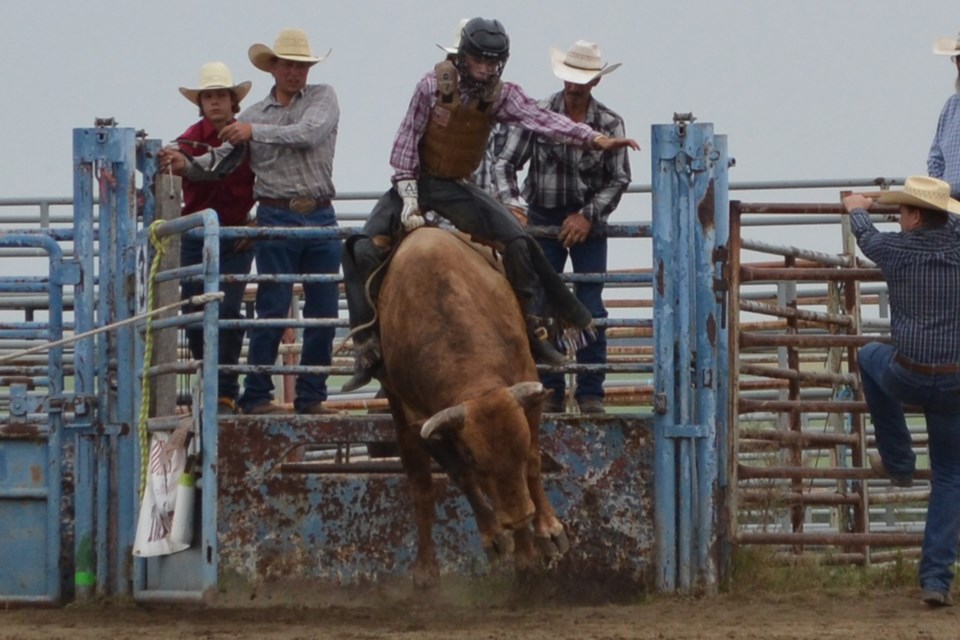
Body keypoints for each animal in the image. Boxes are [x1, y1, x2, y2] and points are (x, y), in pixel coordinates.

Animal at [374, 226, 568, 592]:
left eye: (519, 447)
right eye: (476, 459)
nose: (521, 515)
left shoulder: (527, 384)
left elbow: (534, 463)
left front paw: (547, 532)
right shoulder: (423, 421)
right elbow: (459, 475)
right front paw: (496, 537)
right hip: (402, 422)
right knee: (421, 485)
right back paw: (426, 570)